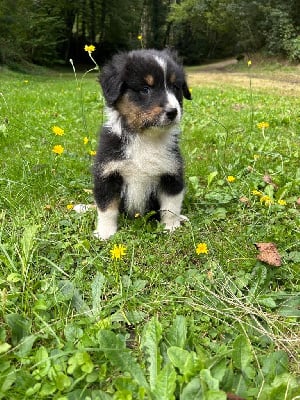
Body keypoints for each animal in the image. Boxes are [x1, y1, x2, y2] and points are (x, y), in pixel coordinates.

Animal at [93, 48, 192, 239]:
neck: (145, 138)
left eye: (175, 87)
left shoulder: (171, 173)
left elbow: (171, 206)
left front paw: (171, 228)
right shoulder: (107, 173)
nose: (173, 112)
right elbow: (107, 207)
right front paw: (105, 233)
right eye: (145, 89)